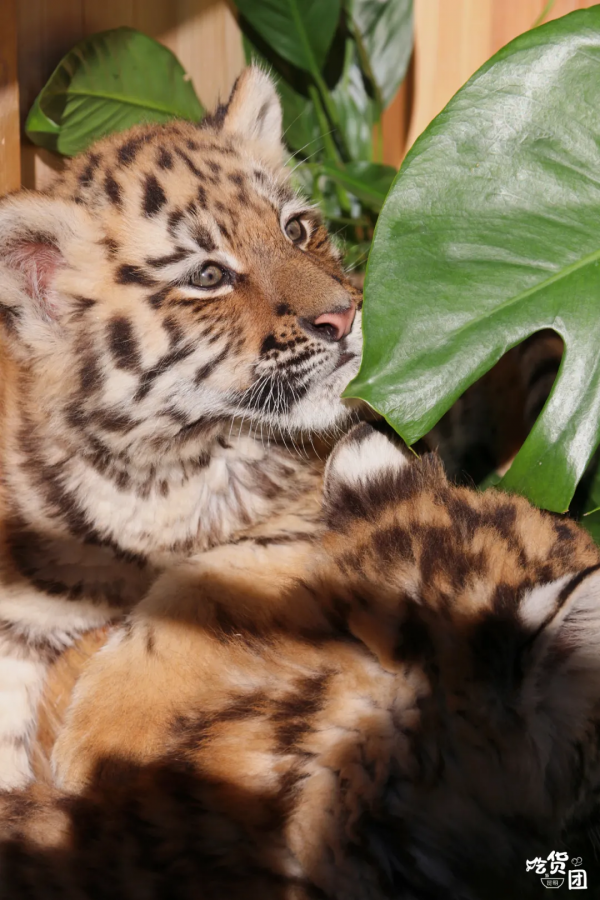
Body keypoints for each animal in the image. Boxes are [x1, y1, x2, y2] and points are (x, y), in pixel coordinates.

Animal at [0, 65, 362, 791]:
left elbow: (198, 585)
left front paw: (101, 744)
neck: (159, 464)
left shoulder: (310, 512)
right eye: (209, 275)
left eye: (296, 229)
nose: (345, 316)